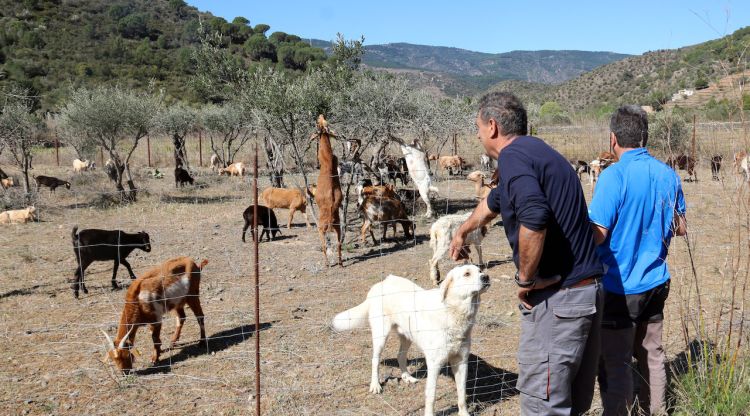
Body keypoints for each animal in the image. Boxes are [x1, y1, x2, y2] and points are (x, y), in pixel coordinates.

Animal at [332, 264, 490, 414]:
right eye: (467, 274)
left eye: (480, 270)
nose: (486, 277)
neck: (453, 312)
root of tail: (380, 283)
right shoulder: (434, 365)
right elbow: (431, 396)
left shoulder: (461, 362)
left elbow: (461, 394)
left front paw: (464, 413)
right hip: (381, 336)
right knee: (375, 360)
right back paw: (375, 385)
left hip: (406, 336)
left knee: (400, 356)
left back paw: (407, 377)